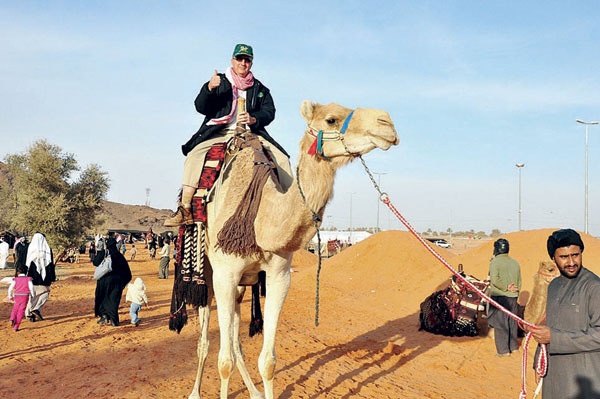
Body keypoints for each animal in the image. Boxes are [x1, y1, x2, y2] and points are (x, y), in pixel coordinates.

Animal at [183, 101, 398, 399]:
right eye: (331, 120)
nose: (387, 123)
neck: (261, 215)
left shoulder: (279, 275)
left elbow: (268, 362)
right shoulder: (225, 273)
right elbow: (223, 362)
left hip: (240, 286)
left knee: (236, 341)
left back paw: (254, 391)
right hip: (207, 272)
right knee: (205, 340)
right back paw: (195, 392)